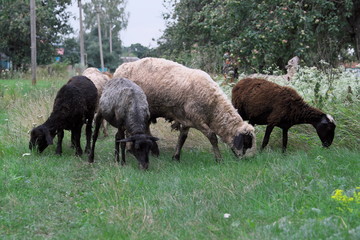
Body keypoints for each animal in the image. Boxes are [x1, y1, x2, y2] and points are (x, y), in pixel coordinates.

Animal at [114, 57, 258, 161]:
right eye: (247, 142)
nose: (245, 159)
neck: (212, 107)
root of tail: (120, 68)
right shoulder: (196, 119)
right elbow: (212, 137)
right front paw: (219, 159)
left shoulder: (187, 119)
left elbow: (182, 137)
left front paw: (176, 157)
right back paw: (134, 149)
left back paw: (152, 150)